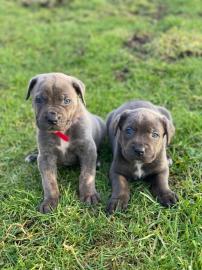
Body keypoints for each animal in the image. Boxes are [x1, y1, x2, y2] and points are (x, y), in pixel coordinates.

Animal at [25, 72, 105, 213]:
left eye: (66, 101)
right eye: (38, 99)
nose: (52, 118)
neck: (63, 131)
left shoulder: (87, 150)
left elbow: (87, 175)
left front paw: (89, 195)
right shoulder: (46, 156)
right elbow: (49, 181)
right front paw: (50, 201)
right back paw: (33, 156)